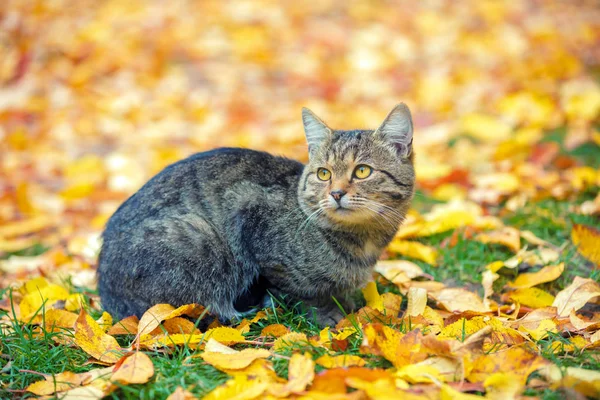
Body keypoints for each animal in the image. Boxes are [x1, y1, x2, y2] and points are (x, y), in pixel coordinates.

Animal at [99, 104, 418, 326]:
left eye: (362, 171)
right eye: (324, 174)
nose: (336, 193)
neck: (364, 242)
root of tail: (105, 294)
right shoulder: (249, 214)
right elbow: (302, 292)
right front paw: (328, 313)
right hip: (199, 239)